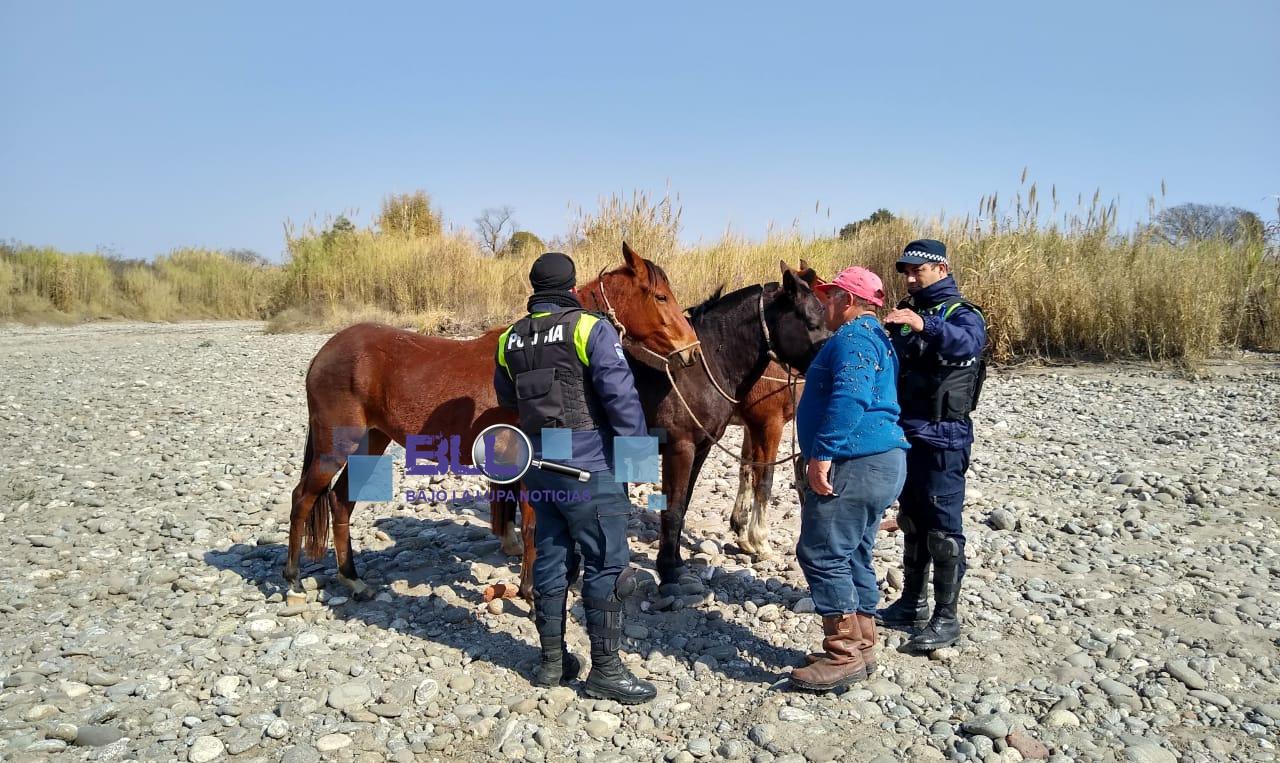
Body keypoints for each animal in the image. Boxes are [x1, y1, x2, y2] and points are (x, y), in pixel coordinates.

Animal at [283, 243, 700, 602]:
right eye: (661, 297)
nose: (692, 351)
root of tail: (326, 351)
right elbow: (532, 526)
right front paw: (531, 591)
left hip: (370, 443)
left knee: (339, 502)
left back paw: (352, 579)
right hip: (334, 448)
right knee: (303, 499)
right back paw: (293, 581)